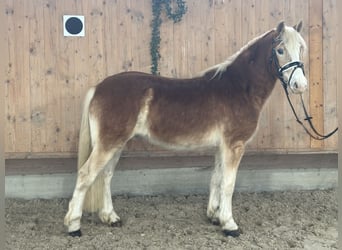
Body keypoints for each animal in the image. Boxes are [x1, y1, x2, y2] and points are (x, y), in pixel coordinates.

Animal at [63, 20, 308, 237]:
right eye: (280, 50)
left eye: (301, 48)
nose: (300, 86)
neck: (239, 88)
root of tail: (98, 87)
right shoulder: (234, 145)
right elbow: (228, 184)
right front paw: (229, 225)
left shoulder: (221, 147)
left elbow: (216, 179)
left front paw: (214, 216)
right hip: (108, 144)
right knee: (86, 175)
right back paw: (74, 226)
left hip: (116, 144)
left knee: (105, 176)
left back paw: (110, 217)